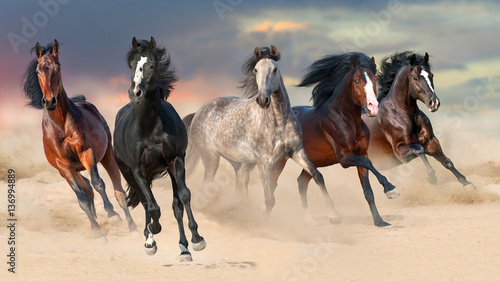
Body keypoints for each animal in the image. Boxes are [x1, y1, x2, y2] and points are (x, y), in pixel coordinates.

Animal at [21, 40, 136, 236]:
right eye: (38, 70)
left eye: (58, 68)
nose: (49, 101)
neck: (61, 124)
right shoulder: (64, 166)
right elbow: (81, 197)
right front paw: (96, 231)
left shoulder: (86, 152)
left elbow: (99, 183)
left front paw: (112, 215)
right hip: (73, 170)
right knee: (87, 189)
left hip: (106, 156)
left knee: (118, 190)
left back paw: (131, 225)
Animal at [113, 37, 205, 260]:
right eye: (131, 64)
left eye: (152, 65)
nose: (135, 93)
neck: (149, 126)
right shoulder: (138, 170)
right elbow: (152, 207)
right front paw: (153, 232)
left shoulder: (176, 161)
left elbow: (184, 196)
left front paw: (197, 240)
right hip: (128, 173)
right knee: (146, 203)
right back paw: (150, 240)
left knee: (176, 206)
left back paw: (183, 248)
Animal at [182, 46, 338, 221]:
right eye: (256, 70)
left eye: (274, 69)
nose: (263, 100)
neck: (279, 121)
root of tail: (198, 112)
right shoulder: (265, 161)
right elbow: (270, 198)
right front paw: (266, 222)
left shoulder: (297, 151)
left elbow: (318, 176)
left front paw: (334, 215)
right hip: (211, 158)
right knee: (206, 185)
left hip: (239, 164)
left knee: (241, 189)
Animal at [272, 53, 400, 228]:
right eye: (356, 80)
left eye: (374, 79)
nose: (373, 107)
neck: (346, 121)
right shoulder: (344, 158)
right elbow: (370, 164)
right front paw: (390, 189)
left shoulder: (362, 154)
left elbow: (368, 191)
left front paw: (380, 221)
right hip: (280, 160)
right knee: (272, 183)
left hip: (310, 161)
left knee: (302, 182)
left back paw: (309, 220)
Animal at [364, 51, 472, 187]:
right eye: (415, 78)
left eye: (431, 75)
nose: (434, 103)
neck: (402, 115)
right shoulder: (400, 153)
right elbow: (420, 150)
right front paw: (432, 178)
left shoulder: (431, 141)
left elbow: (447, 162)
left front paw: (467, 183)